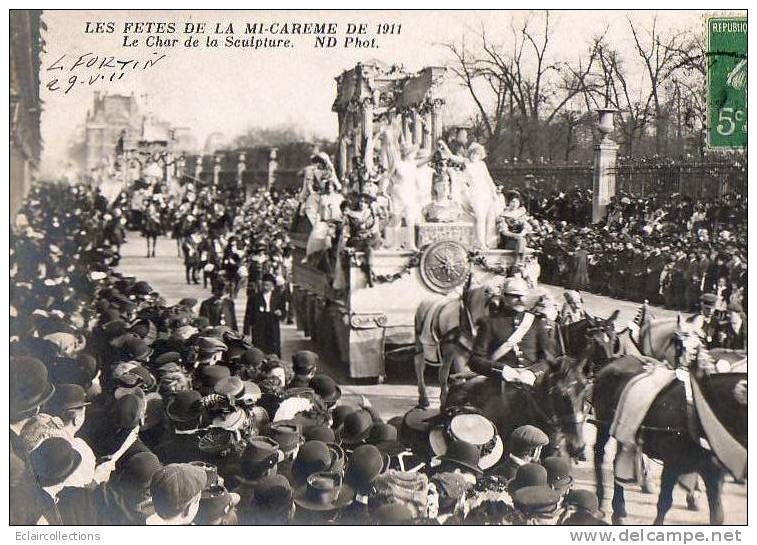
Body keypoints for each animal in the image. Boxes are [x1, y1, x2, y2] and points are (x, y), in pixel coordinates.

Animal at [592, 316, 744, 524]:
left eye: (699, 344)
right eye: (678, 343)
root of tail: (614, 362)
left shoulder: (714, 473)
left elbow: (717, 515)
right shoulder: (673, 462)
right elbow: (664, 502)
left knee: (619, 461)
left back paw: (619, 510)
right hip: (603, 425)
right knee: (599, 455)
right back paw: (601, 501)